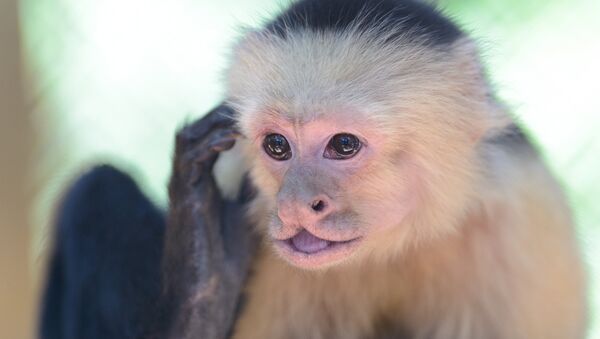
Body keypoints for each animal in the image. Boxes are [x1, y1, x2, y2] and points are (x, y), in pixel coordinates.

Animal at [39, 0, 588, 339]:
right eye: (277, 146)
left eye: (343, 145)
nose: (298, 205)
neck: (386, 247)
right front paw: (203, 276)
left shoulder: (528, 217)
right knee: (98, 186)